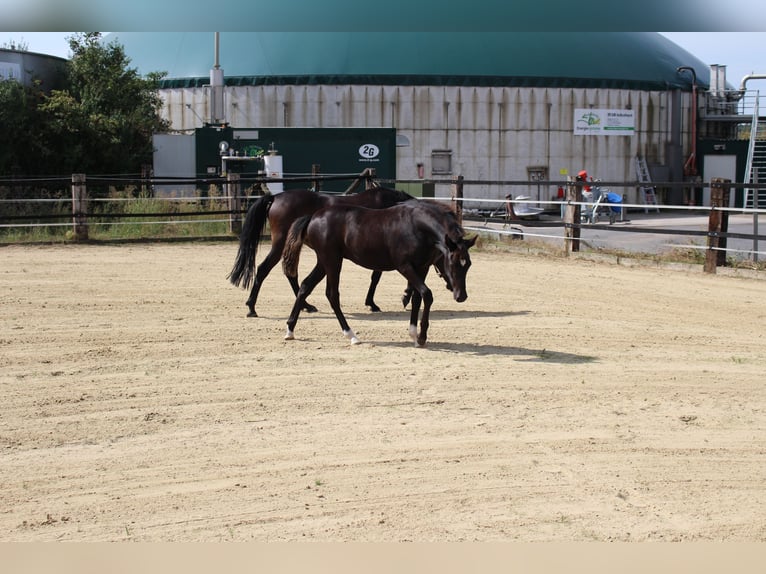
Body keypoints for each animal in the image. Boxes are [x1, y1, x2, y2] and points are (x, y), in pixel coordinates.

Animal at [228, 186, 418, 317]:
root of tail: (275, 198)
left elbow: (377, 277)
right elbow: (377, 277)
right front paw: (390, 299)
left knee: (291, 274)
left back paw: (306, 305)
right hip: (280, 245)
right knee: (264, 269)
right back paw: (252, 307)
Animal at [282, 200, 476, 347]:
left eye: (468, 264)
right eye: (452, 262)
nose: (461, 296)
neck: (416, 226)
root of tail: (313, 217)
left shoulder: (422, 268)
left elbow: (417, 298)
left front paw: (414, 335)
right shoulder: (404, 266)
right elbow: (427, 294)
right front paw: (421, 337)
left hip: (323, 262)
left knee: (305, 286)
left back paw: (290, 330)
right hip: (332, 261)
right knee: (332, 295)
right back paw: (351, 335)